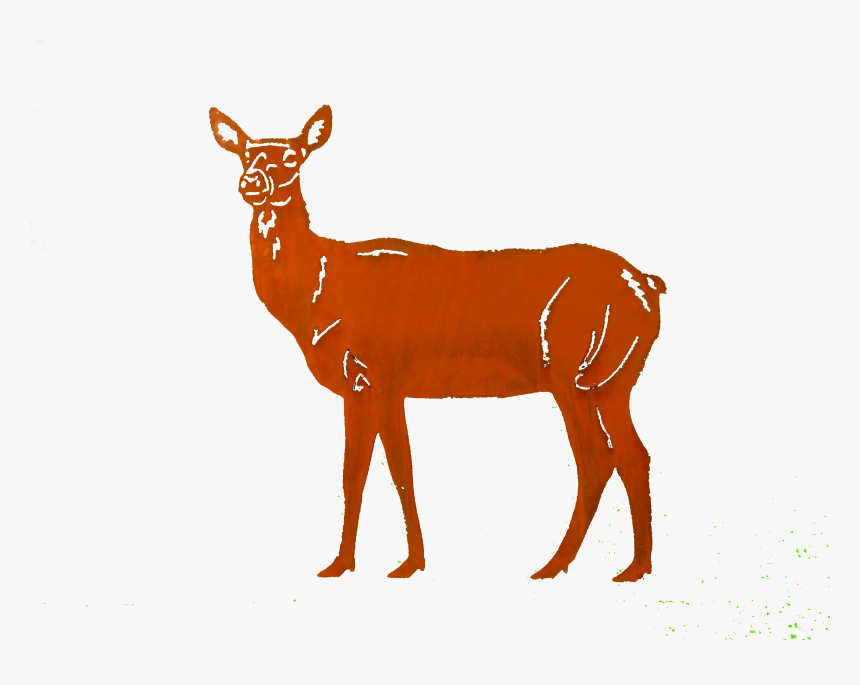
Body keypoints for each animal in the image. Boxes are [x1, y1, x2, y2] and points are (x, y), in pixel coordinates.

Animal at [209, 104, 666, 581]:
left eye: (292, 158)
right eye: (245, 154)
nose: (252, 183)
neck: (316, 294)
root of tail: (649, 285)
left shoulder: (379, 372)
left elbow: (388, 469)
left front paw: (404, 563)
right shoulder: (370, 386)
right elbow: (365, 471)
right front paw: (348, 563)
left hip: (569, 372)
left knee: (596, 458)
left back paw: (554, 565)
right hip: (613, 379)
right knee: (634, 455)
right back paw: (634, 567)